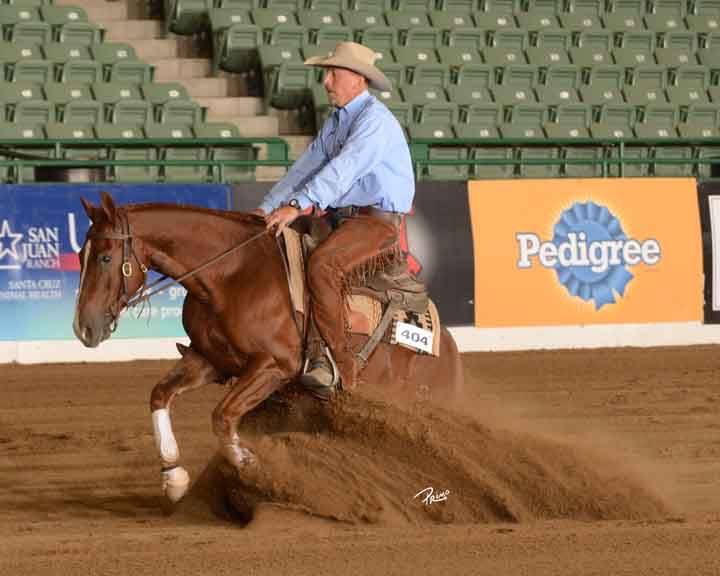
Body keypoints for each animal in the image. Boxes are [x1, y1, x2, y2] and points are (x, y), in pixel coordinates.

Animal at [73, 191, 464, 503]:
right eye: (80, 257)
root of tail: (448, 348)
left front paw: (253, 468)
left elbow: (223, 416)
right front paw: (174, 477)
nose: (83, 328)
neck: (231, 275)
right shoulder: (209, 359)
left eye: (105, 258)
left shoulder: (273, 367)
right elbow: (160, 394)